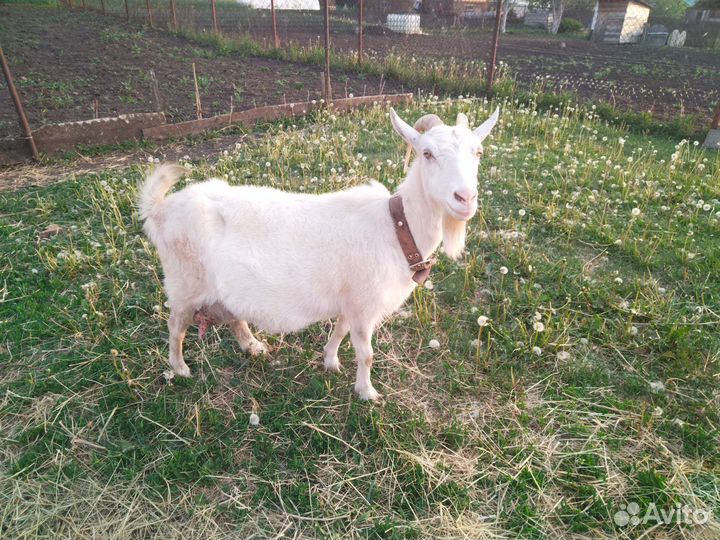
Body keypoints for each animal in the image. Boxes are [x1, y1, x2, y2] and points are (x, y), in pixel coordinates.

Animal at [139, 107, 499, 400]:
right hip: (184, 282)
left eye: (478, 151)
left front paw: (330, 361)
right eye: (427, 153)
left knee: (233, 315)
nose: (465, 198)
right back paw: (180, 368)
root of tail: (160, 210)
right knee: (175, 326)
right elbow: (366, 353)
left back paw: (253, 346)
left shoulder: (350, 300)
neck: (397, 228)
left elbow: (339, 331)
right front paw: (367, 392)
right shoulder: (364, 304)